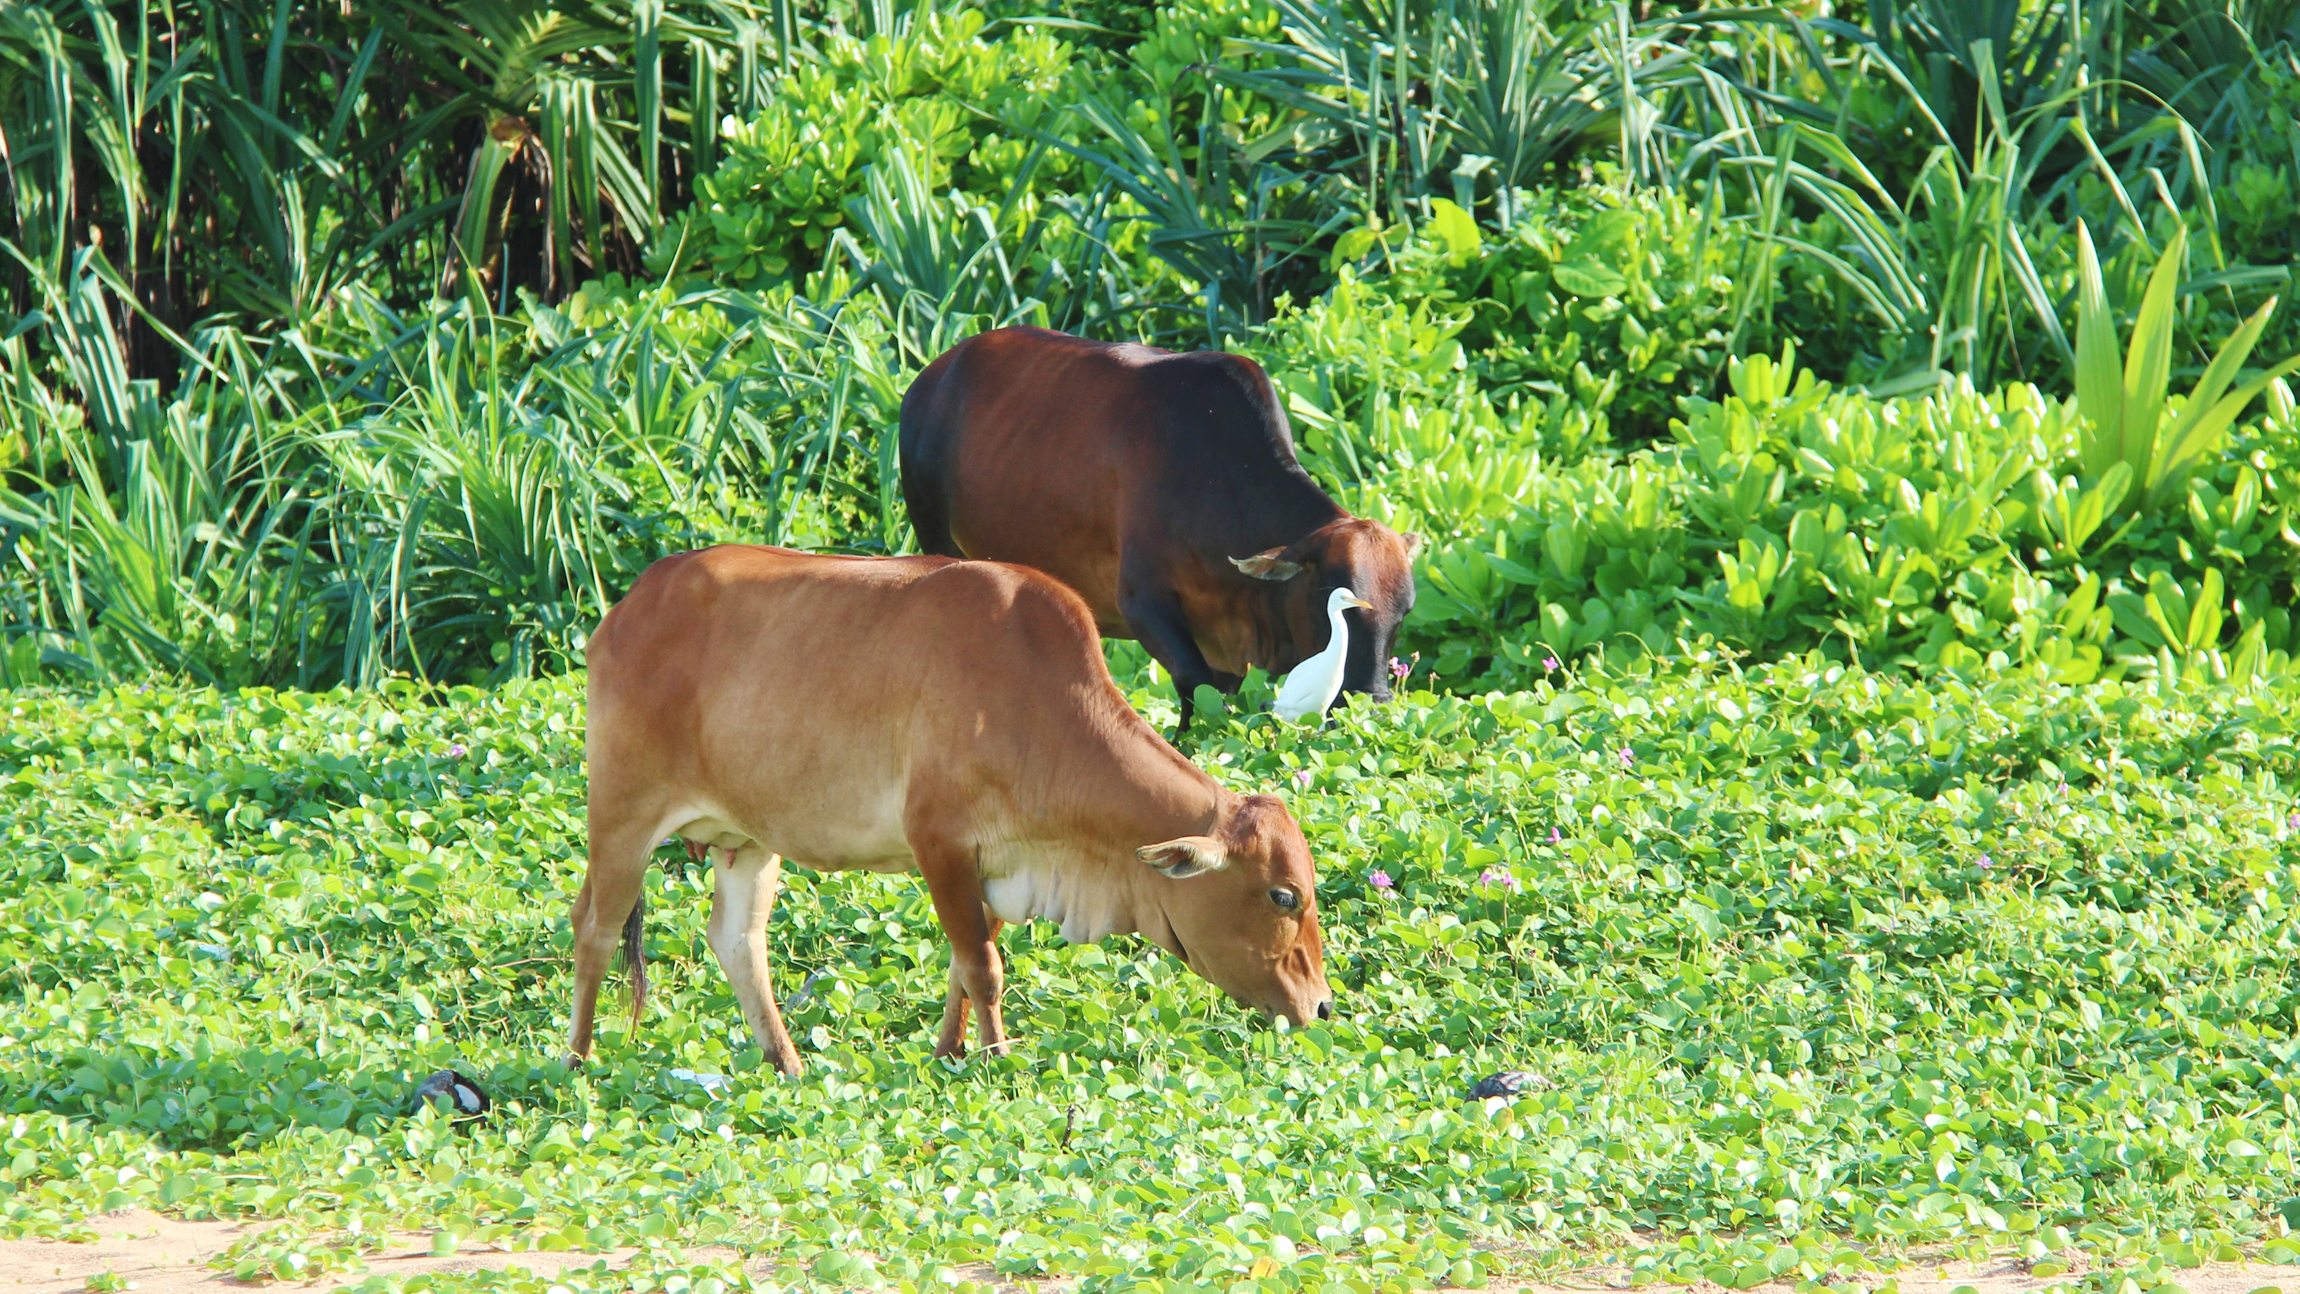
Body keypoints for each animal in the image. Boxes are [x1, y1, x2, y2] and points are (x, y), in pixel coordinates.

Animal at [568, 544, 1334, 1075]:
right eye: (1283, 895)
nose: (1323, 1005)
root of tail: (628, 607)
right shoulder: (939, 844)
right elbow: (983, 967)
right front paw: (997, 1057)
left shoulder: (995, 866)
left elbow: (964, 969)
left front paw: (951, 1053)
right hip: (621, 814)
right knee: (596, 927)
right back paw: (578, 1062)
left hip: (748, 840)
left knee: (736, 940)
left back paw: (788, 1064)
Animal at [898, 326, 1424, 732]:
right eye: (1332, 604)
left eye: (1403, 613)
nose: (1373, 702)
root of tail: (931, 376)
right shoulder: (1144, 604)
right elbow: (1195, 689)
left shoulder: (1225, 646)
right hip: (935, 537)